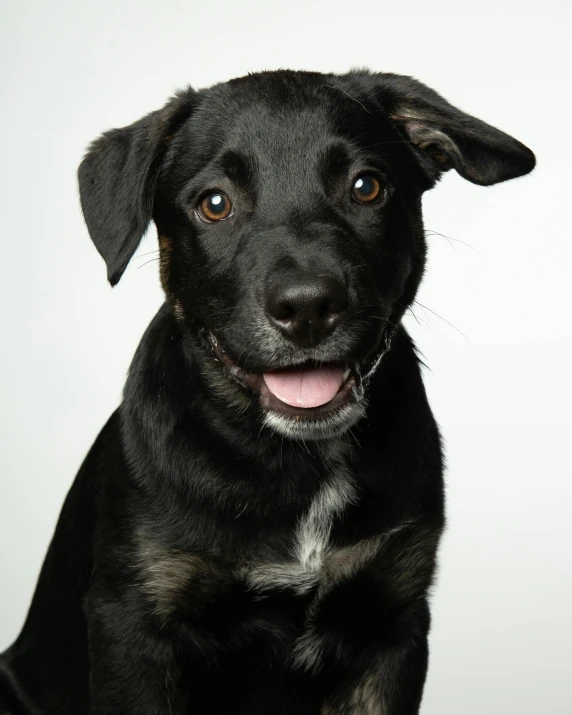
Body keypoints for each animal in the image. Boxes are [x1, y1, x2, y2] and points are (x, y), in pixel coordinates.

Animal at [1, 68, 536, 715]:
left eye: (366, 187)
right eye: (215, 203)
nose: (306, 308)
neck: (294, 462)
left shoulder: (391, 625)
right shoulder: (133, 626)